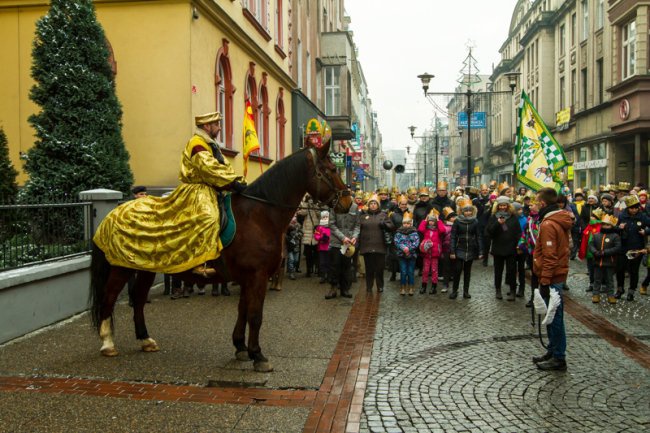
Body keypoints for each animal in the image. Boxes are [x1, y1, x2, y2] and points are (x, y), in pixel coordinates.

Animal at [87, 142, 350, 372]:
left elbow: (243, 310)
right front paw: (257, 355)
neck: (259, 215)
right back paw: (108, 343)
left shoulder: (248, 278)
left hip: (144, 268)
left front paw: (241, 347)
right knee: (109, 299)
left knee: (139, 299)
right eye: (332, 169)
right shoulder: (257, 276)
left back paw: (145, 340)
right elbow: (255, 315)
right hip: (121, 268)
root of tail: (113, 213)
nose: (348, 200)